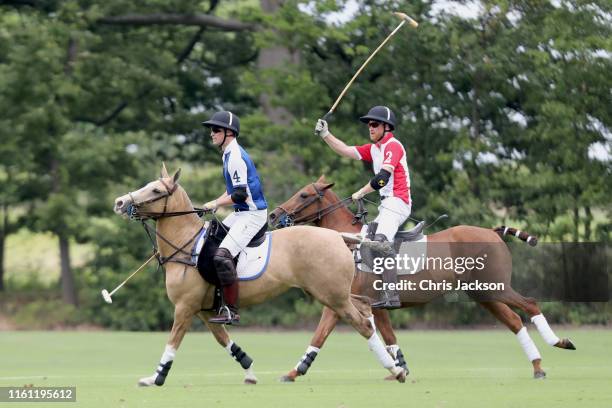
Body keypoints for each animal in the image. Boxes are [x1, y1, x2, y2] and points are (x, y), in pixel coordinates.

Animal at [112, 165, 408, 386]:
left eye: (156, 190)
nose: (120, 202)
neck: (187, 245)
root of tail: (340, 237)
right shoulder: (204, 310)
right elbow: (225, 341)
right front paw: (250, 373)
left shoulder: (185, 307)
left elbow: (173, 341)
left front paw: (155, 378)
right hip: (332, 293)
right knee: (365, 307)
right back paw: (396, 367)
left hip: (333, 296)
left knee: (363, 324)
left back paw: (396, 371)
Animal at [270, 177, 576, 380]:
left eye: (304, 195)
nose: (274, 215)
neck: (348, 243)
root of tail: (492, 231)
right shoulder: (366, 305)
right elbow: (385, 337)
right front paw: (399, 369)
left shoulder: (345, 301)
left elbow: (323, 333)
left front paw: (295, 371)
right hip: (483, 293)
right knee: (514, 321)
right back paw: (538, 366)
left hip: (495, 287)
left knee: (530, 303)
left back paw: (559, 343)